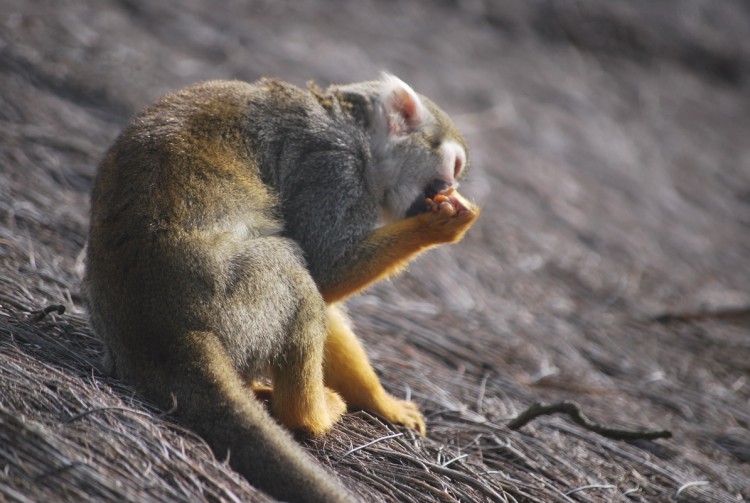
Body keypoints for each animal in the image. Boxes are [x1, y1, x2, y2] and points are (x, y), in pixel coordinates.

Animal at [83, 75, 482, 503]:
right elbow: (324, 270)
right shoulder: (332, 167)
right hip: (229, 302)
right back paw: (310, 417)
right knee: (294, 278)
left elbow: (327, 296)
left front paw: (381, 402)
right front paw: (440, 226)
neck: (355, 131)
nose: (449, 186)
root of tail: (158, 334)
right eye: (455, 166)